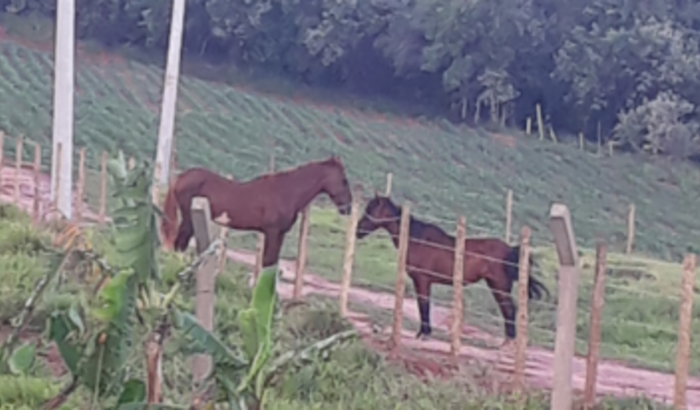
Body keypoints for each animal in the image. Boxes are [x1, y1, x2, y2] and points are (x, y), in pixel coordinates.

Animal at [161, 155, 353, 268]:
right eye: (344, 180)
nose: (348, 208)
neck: (286, 191)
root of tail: (181, 177)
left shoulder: (279, 234)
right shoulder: (272, 232)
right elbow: (267, 262)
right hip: (188, 219)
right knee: (179, 243)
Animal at [355, 194, 549, 341]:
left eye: (371, 211)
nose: (358, 231)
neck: (417, 239)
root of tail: (510, 249)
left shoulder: (422, 281)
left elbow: (423, 305)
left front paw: (424, 334)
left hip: (499, 286)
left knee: (509, 309)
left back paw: (508, 342)